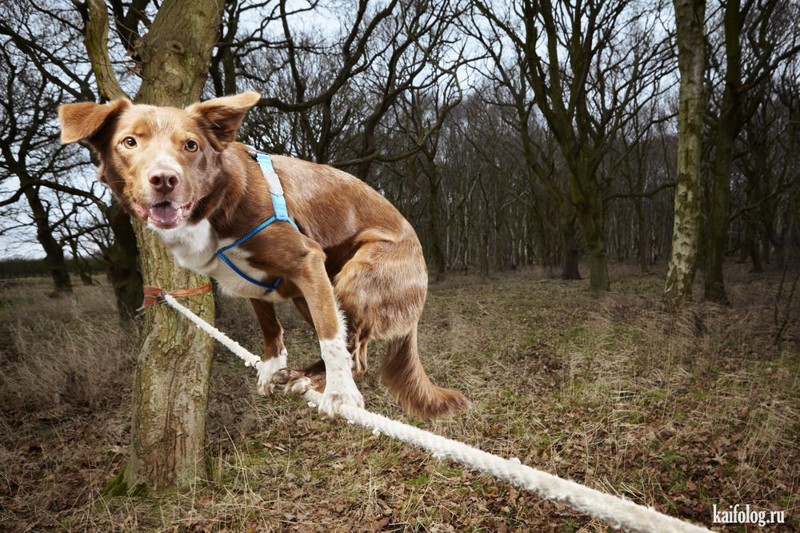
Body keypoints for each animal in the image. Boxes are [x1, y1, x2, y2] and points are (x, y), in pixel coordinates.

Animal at [59, 93, 472, 420]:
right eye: (129, 142)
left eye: (191, 145)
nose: (164, 179)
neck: (216, 203)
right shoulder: (254, 283)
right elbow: (270, 326)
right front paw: (274, 367)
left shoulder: (306, 259)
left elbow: (330, 336)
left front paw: (340, 394)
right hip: (318, 291)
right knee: (351, 346)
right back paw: (301, 376)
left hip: (355, 277)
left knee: (354, 353)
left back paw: (318, 381)